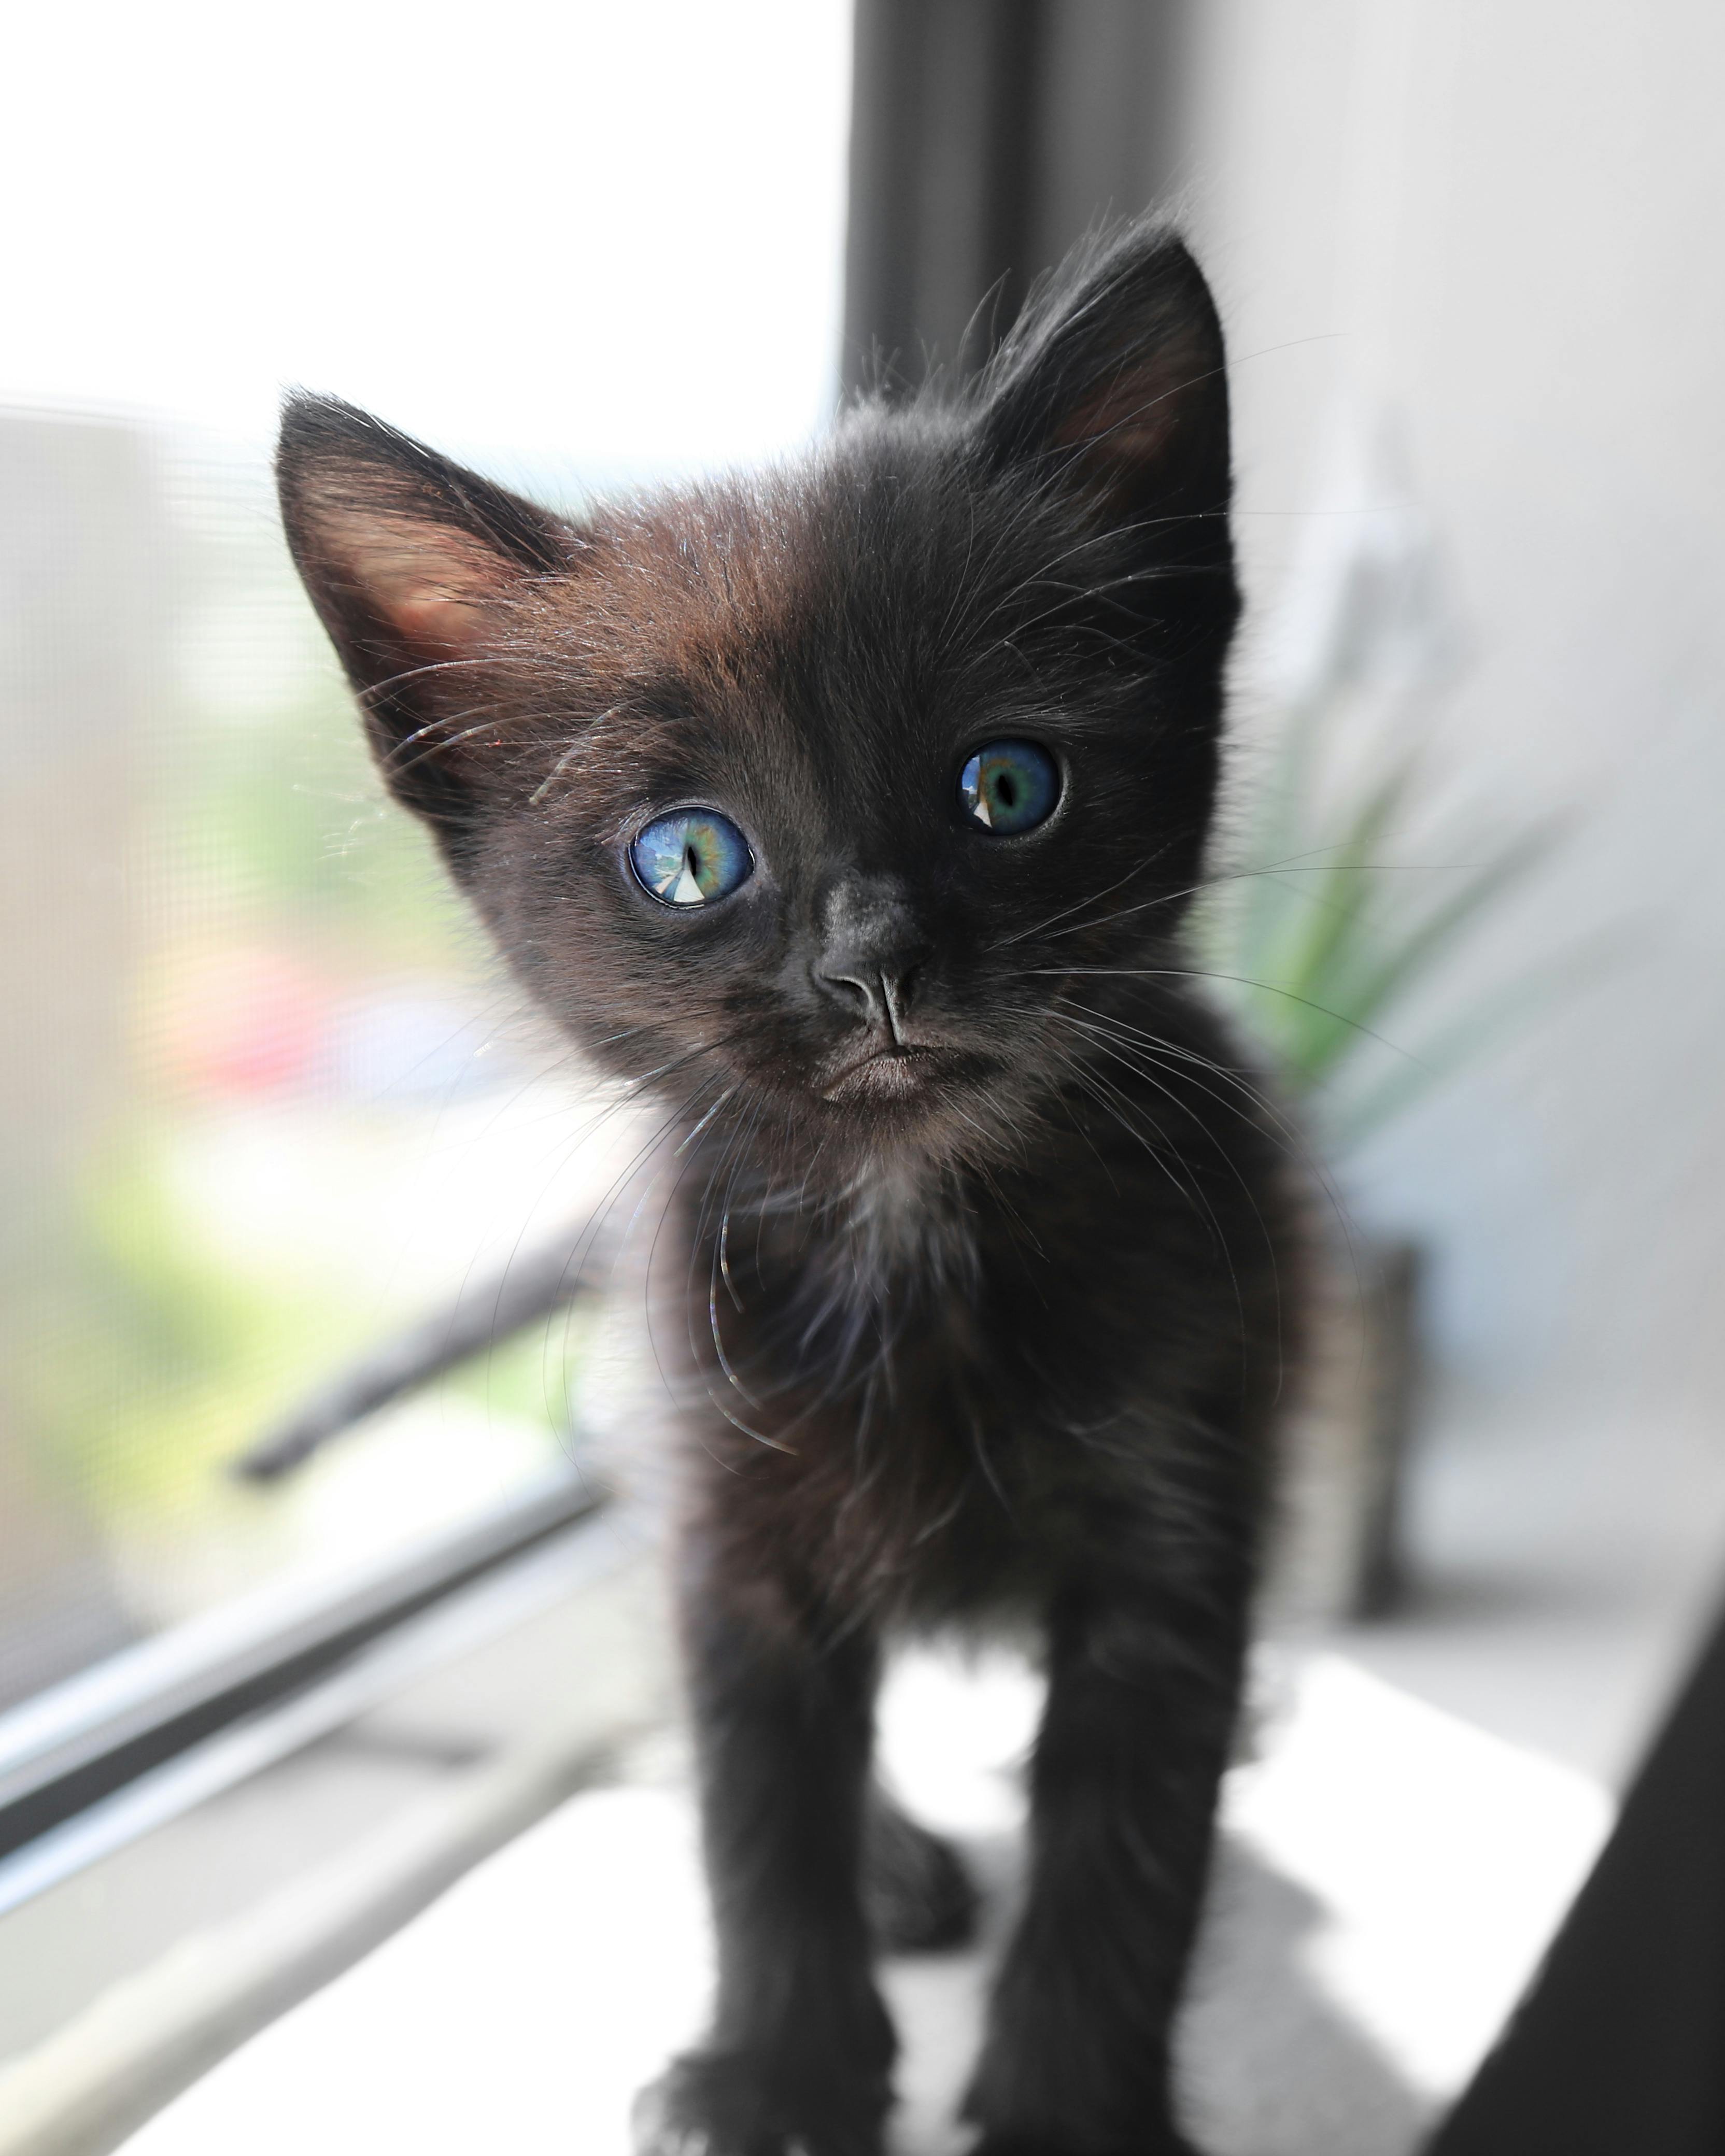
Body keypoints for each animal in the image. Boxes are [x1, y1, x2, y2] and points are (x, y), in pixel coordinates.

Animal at [280, 219, 1311, 2156]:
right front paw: (776, 2072)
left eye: (1005, 786)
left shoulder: (1176, 1506)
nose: (873, 963)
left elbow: (1125, 1856)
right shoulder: (726, 1518)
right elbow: (756, 1808)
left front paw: (1067, 2107)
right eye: (690, 857)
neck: (911, 1226)